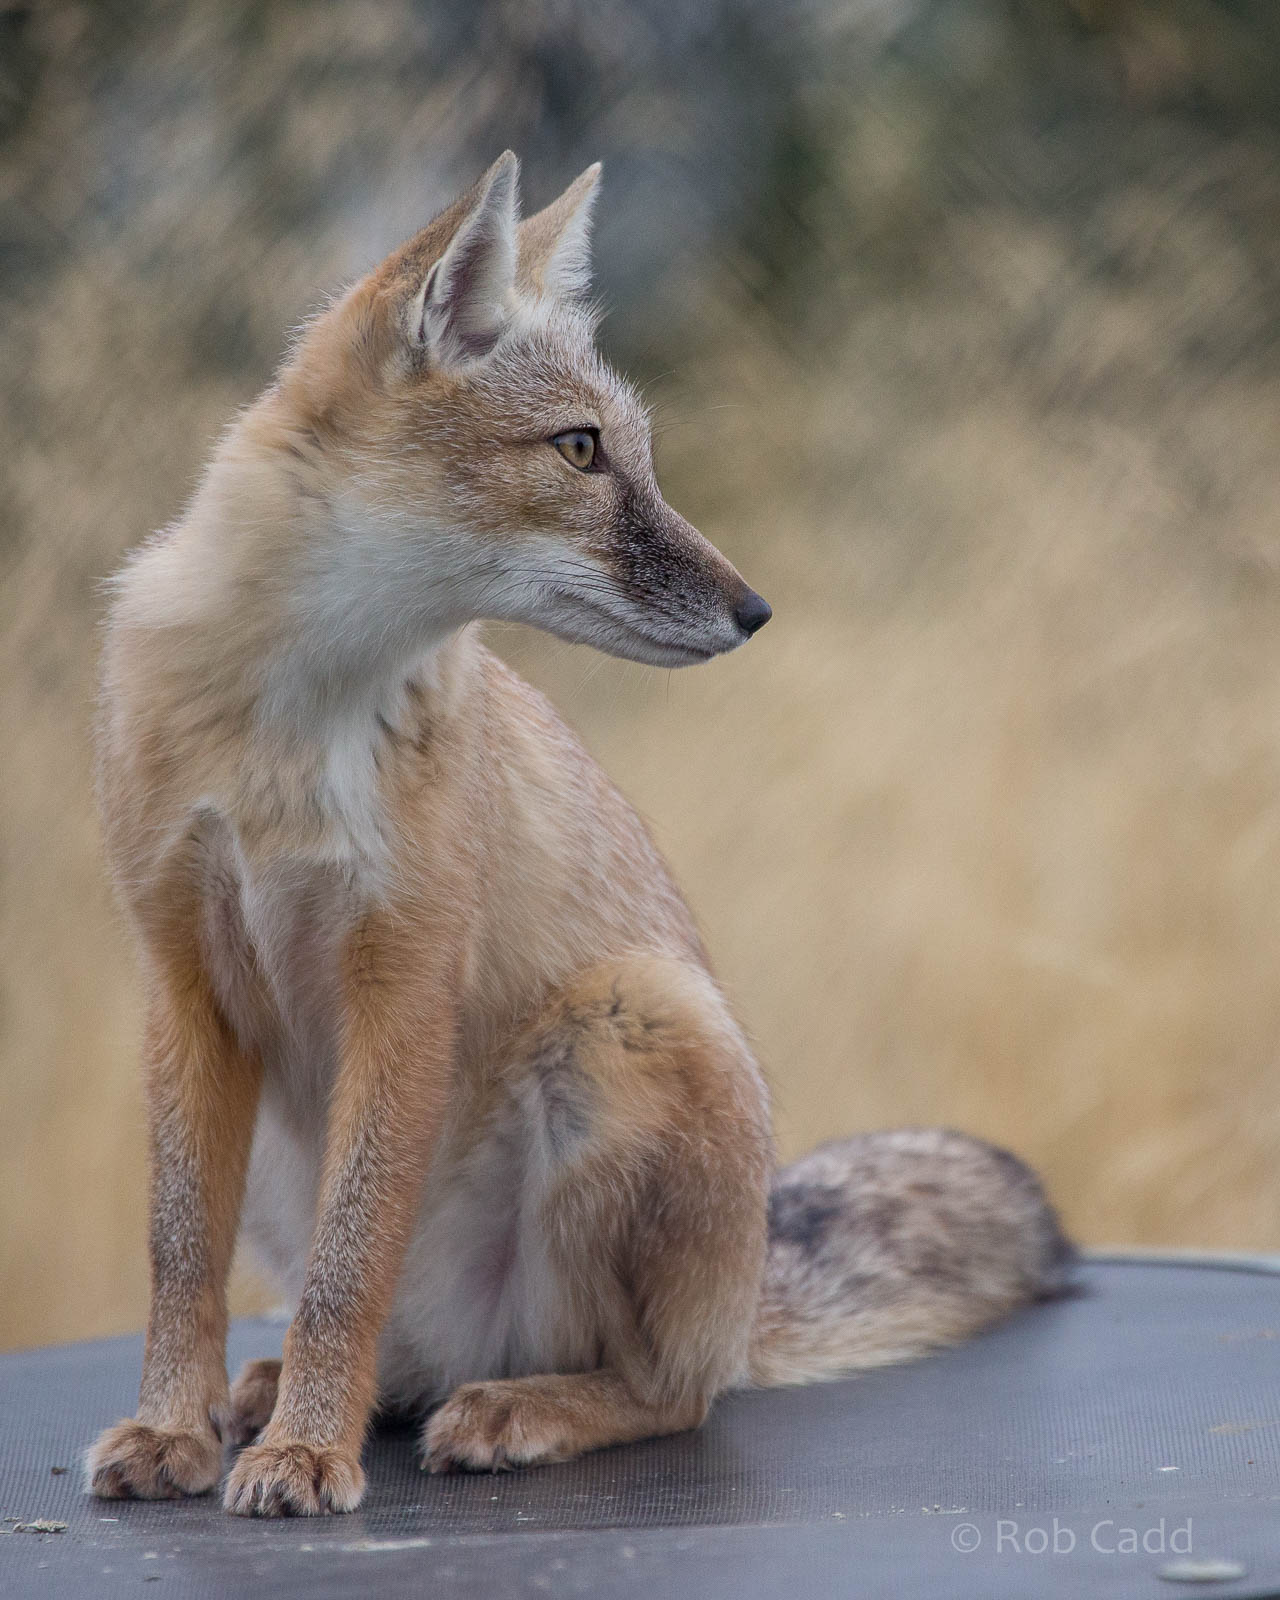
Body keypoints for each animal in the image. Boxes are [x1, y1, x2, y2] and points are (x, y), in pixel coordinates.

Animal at [85, 152, 1072, 1518]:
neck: (291, 723)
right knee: (401, 1349)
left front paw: (307, 1452)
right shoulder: (181, 974)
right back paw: (292, 1388)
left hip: (635, 1018)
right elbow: (180, 1252)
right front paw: (171, 1427)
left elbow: (347, 1262)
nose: (756, 610)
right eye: (580, 449)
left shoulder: (403, 974)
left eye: (635, 455)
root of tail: (745, 1300)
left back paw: (510, 1407)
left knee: (666, 1392)